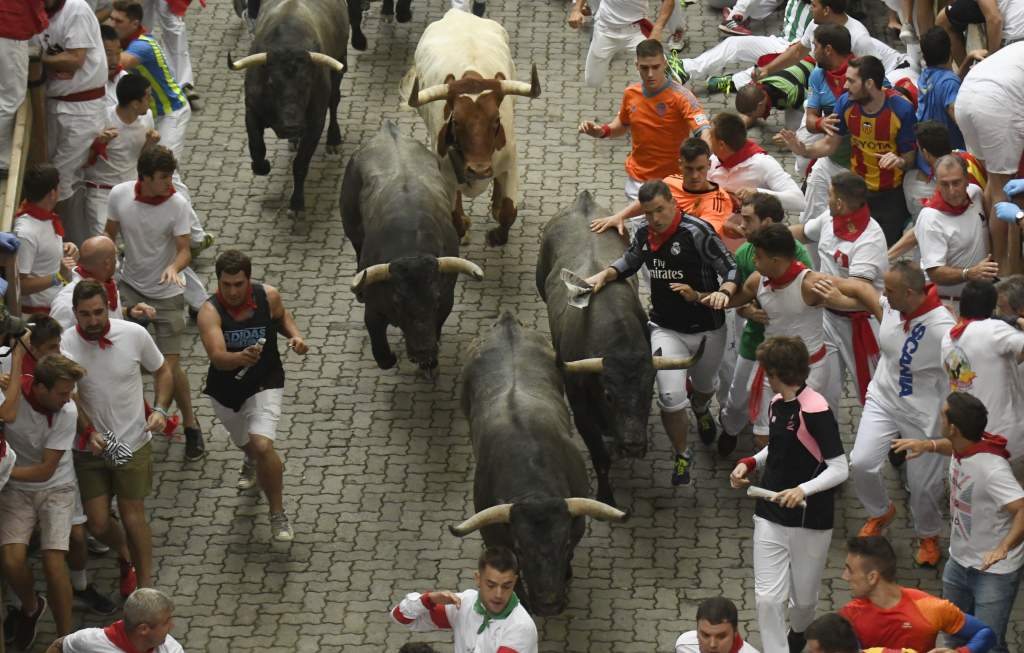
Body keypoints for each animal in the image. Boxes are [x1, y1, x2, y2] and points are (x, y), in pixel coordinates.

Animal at [227, 0, 348, 216]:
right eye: (271, 83)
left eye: (307, 83)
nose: (291, 126)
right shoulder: (251, 111)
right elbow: (256, 147)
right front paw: (262, 166)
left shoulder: (315, 122)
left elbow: (300, 164)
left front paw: (297, 203)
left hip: (339, 66)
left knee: (334, 101)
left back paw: (333, 140)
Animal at [335, 122, 479, 372]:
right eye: (398, 302)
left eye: (435, 300)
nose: (424, 351)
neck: (411, 248)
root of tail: (389, 130)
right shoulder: (374, 309)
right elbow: (378, 344)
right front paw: (389, 358)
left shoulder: (445, 303)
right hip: (351, 227)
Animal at [536, 192, 704, 509]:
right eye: (608, 395)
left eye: (649, 391)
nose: (634, 445)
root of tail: (583, 200)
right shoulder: (581, 409)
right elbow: (600, 457)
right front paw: (607, 498)